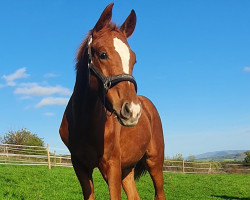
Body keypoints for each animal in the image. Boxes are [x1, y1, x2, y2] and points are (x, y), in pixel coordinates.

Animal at [59, 3, 166, 200]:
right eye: (102, 54)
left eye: (134, 59)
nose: (133, 111)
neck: (84, 122)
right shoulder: (80, 166)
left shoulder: (112, 166)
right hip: (127, 169)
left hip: (154, 163)